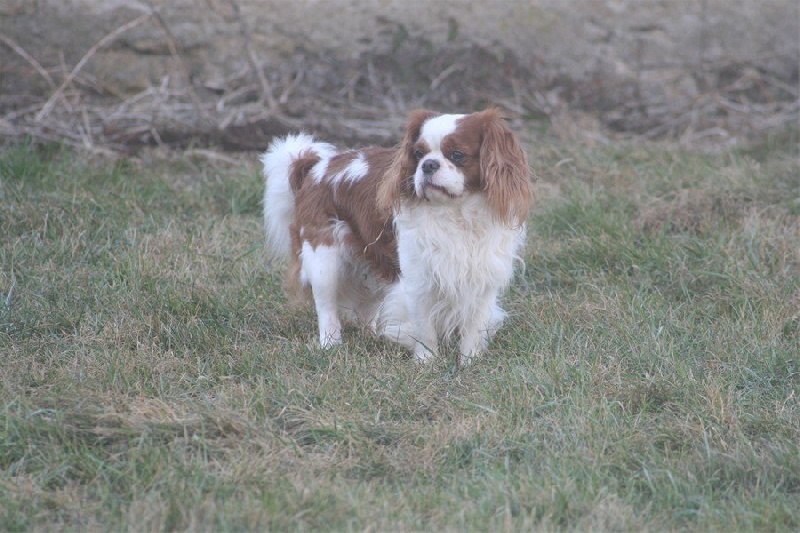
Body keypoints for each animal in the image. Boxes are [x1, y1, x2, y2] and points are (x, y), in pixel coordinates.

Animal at [262, 109, 536, 366]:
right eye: (418, 154)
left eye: (457, 154)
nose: (428, 164)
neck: (456, 212)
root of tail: (316, 166)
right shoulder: (418, 278)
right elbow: (424, 327)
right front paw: (426, 362)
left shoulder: (483, 277)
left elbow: (474, 325)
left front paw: (469, 362)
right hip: (323, 258)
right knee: (326, 306)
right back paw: (331, 344)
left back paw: (374, 334)